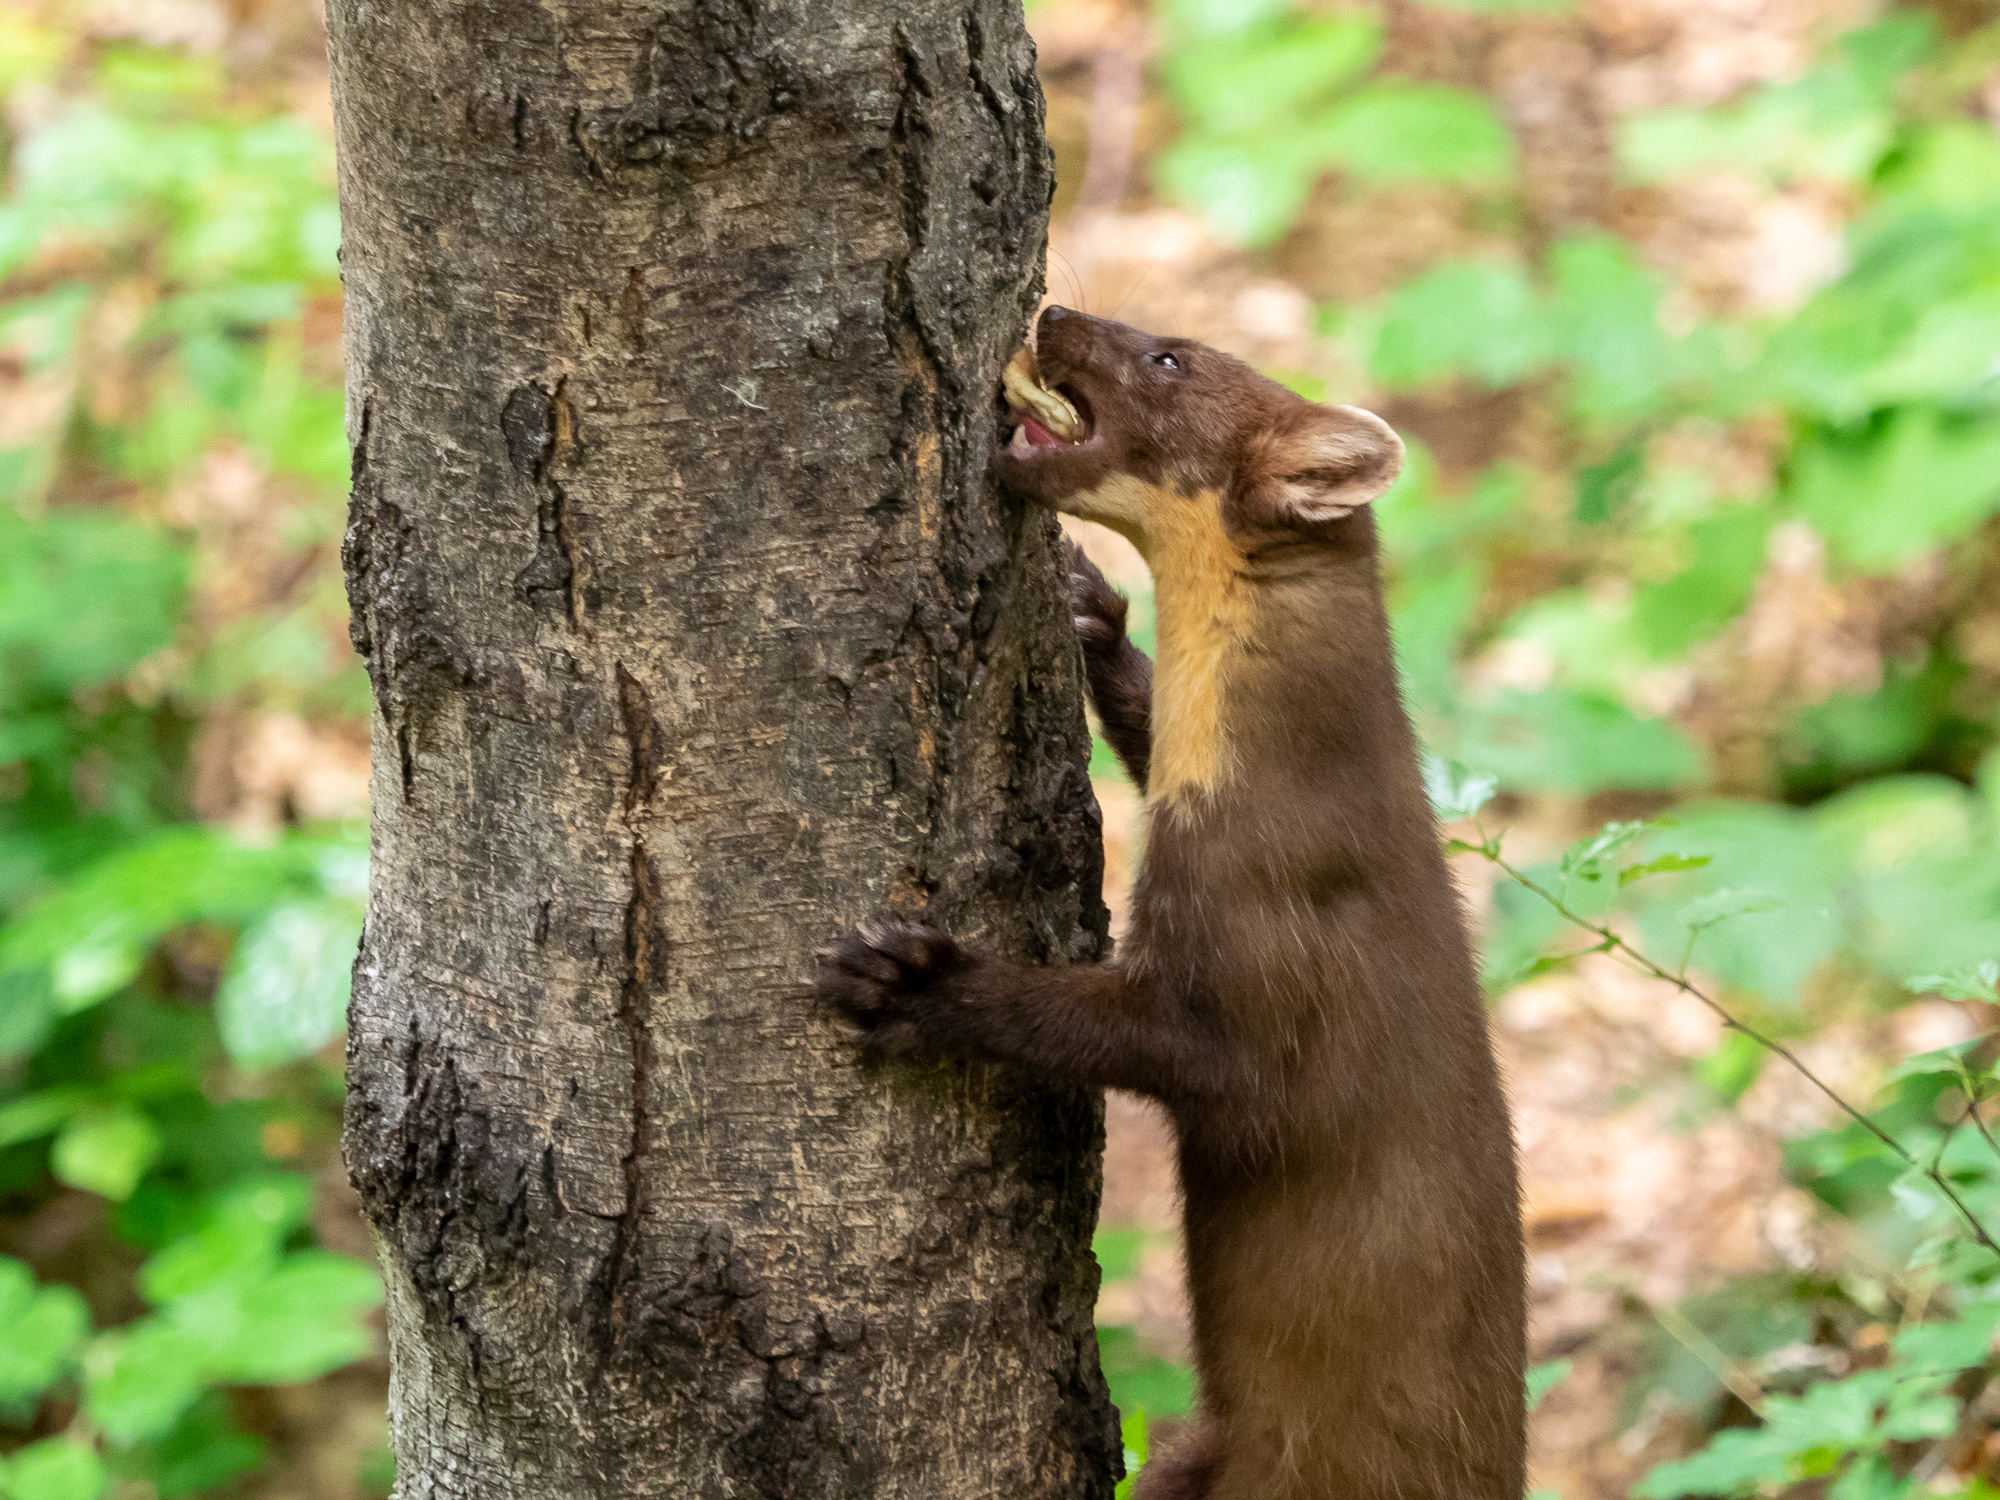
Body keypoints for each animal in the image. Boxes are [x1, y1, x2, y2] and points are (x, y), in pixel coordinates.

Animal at [817, 306, 1526, 1500]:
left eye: (1166, 357)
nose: (1053, 312)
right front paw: (1090, 614)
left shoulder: (1265, 925)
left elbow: (1148, 1041)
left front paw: (909, 980)